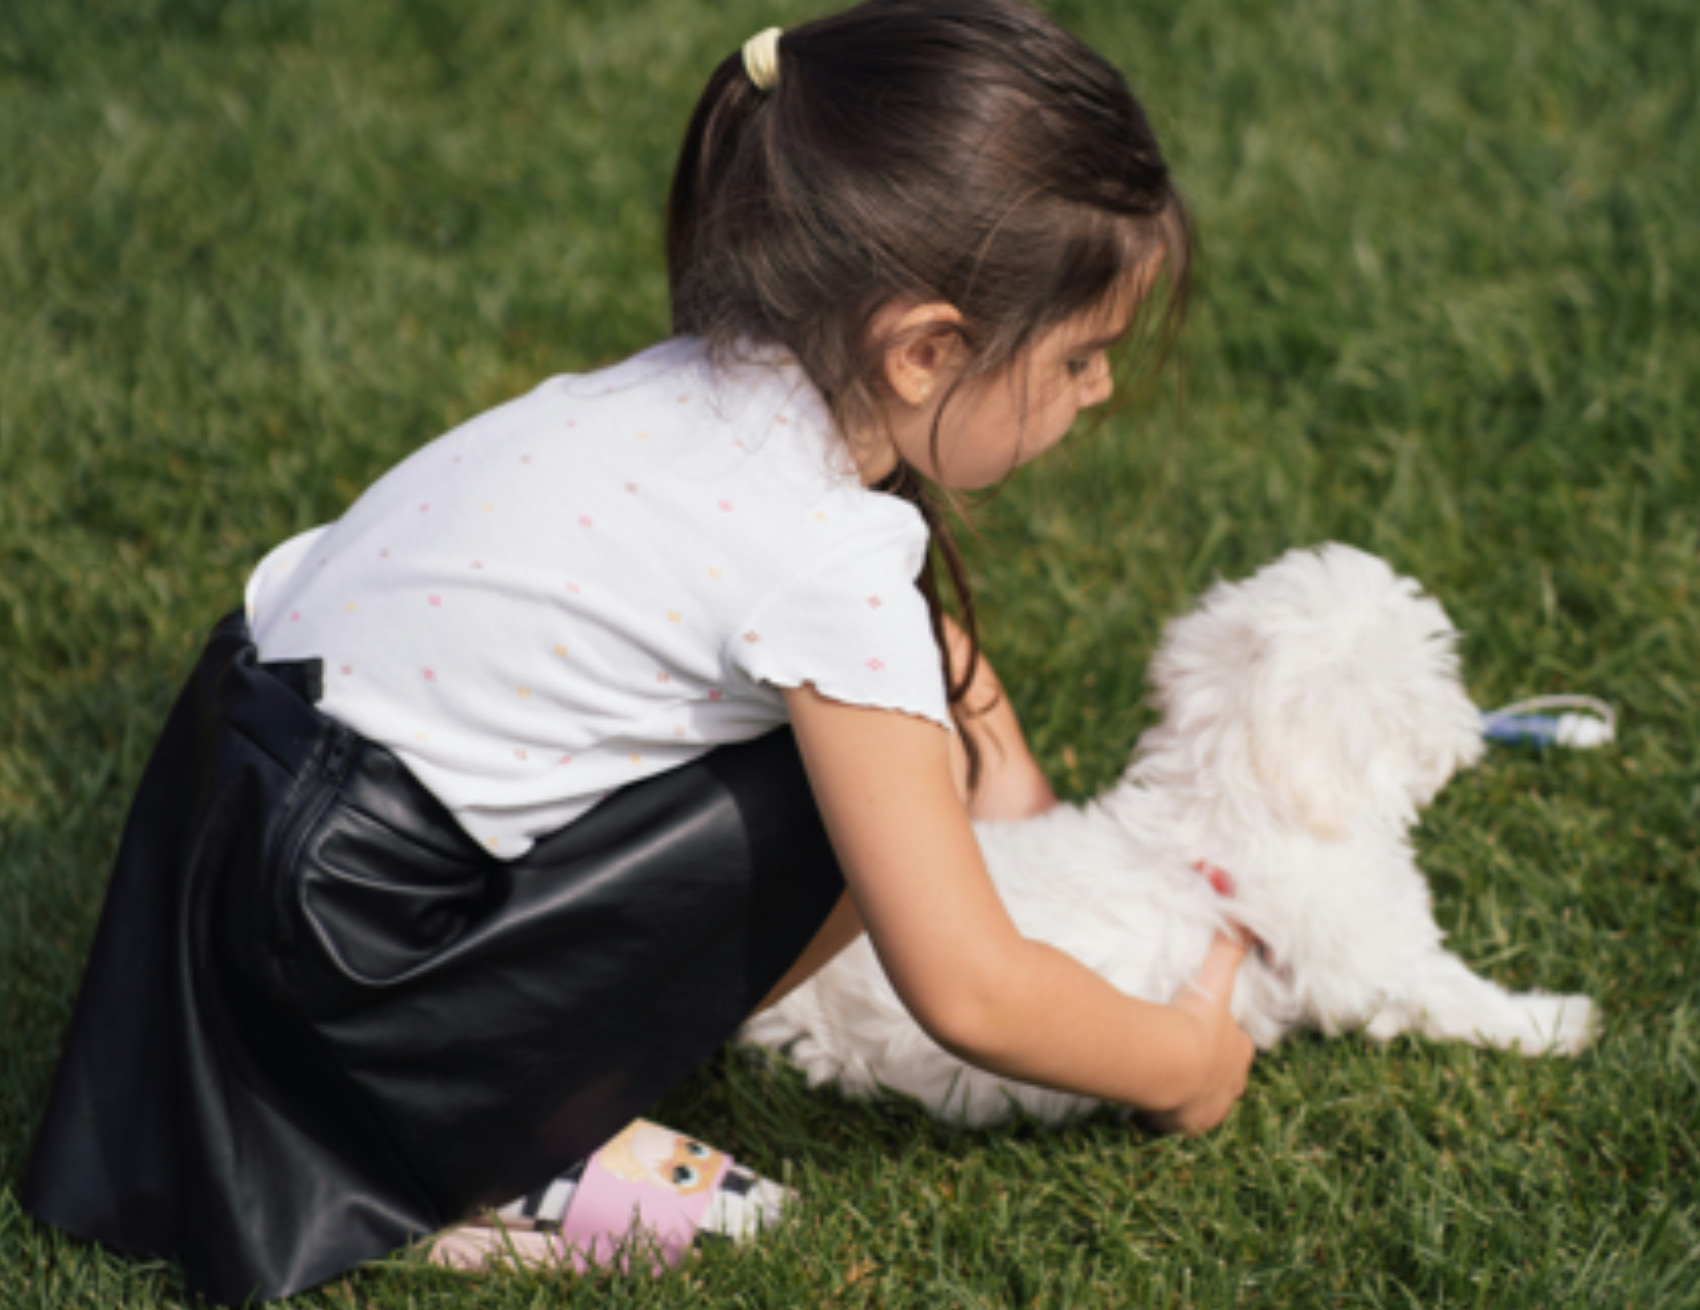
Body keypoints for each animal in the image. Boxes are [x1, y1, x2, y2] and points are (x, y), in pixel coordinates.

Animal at [741, 543, 1591, 1128]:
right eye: (1436, 672)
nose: (1470, 727)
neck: (1235, 800)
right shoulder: (1371, 957)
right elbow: (1457, 996)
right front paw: (1556, 1023)